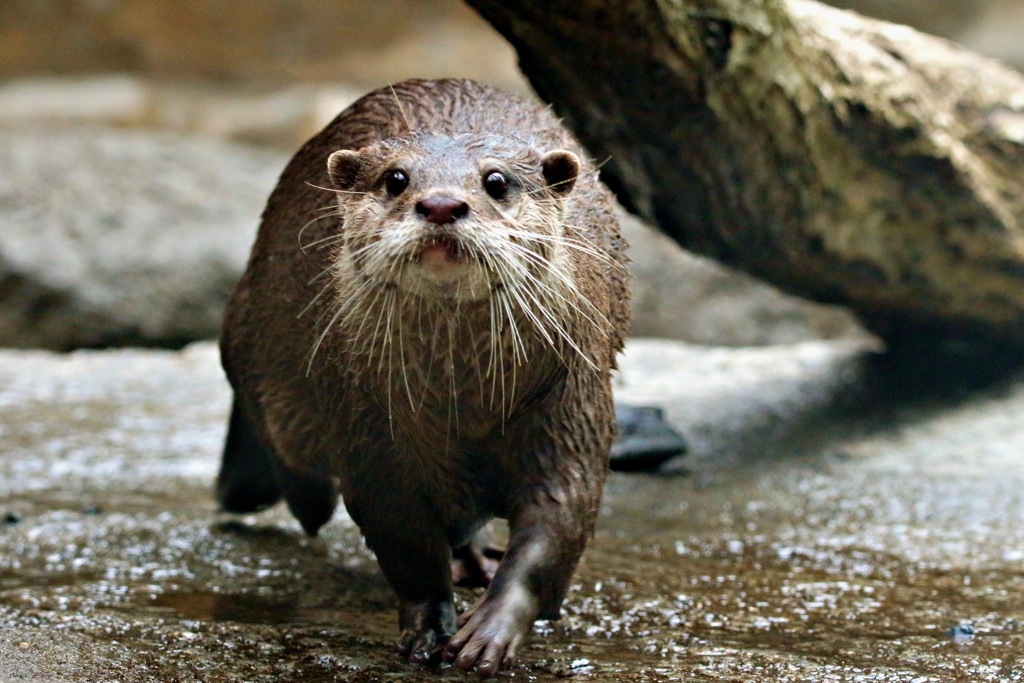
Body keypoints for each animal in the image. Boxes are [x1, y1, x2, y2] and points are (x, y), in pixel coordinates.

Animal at [217, 77, 630, 675]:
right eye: (396, 179)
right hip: (250, 335)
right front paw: (429, 625)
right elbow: (402, 536)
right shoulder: (369, 423)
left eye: (496, 181)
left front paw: (491, 630)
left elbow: (558, 520)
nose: (440, 204)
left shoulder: (571, 400)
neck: (465, 402)